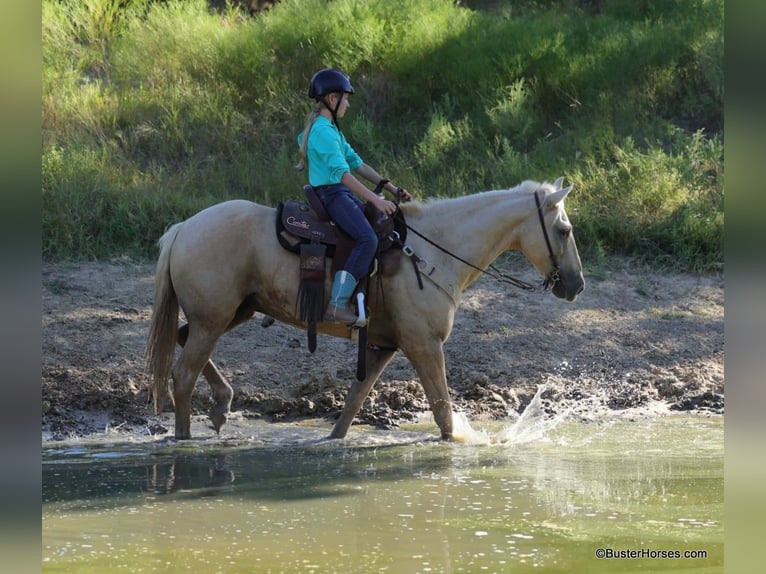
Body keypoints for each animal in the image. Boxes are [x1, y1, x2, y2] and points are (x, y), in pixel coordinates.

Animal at [145, 178, 584, 440]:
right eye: (564, 230)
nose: (576, 285)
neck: (434, 250)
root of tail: (183, 228)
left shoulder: (381, 346)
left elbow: (352, 405)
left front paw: (331, 441)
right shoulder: (424, 345)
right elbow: (442, 412)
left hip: (232, 313)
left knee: (185, 344)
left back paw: (222, 405)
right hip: (213, 319)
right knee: (183, 375)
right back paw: (186, 439)